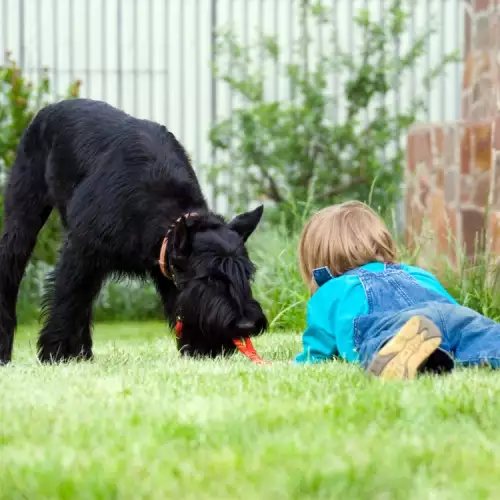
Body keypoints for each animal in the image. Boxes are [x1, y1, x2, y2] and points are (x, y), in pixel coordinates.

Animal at [0, 97, 268, 364]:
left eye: (247, 274)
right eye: (210, 278)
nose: (246, 324)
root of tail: (49, 109)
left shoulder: (166, 266)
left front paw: (200, 347)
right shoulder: (80, 253)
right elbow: (68, 299)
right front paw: (57, 352)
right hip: (22, 219)